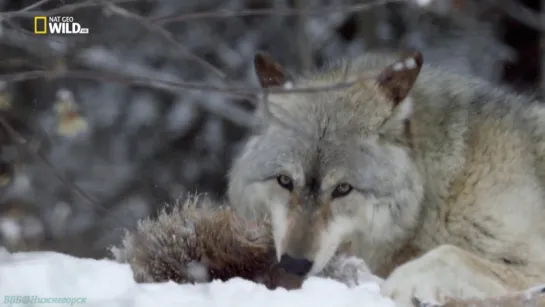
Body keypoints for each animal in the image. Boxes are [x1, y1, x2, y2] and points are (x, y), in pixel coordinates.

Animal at [225, 49, 544, 306]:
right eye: (285, 182)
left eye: (343, 188)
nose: (293, 264)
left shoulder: (530, 260)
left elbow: (448, 253)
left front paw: (400, 285)